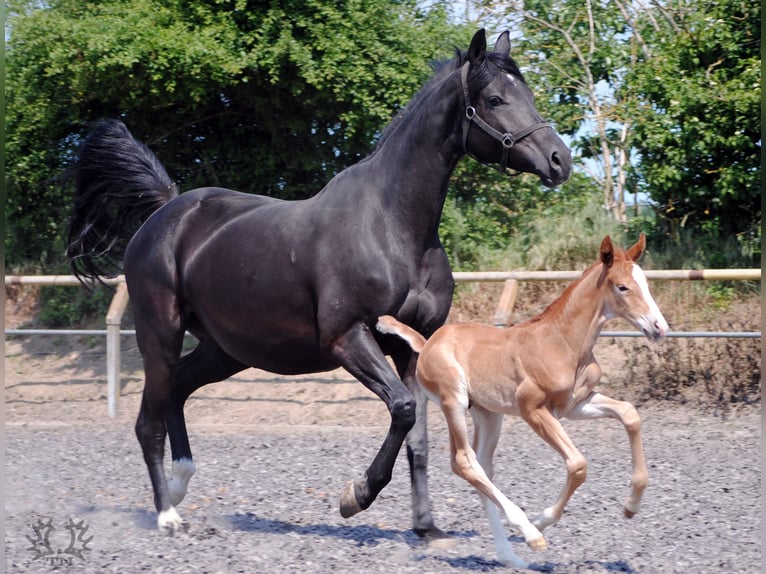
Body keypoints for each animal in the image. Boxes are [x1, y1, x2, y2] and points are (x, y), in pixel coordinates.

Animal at [67, 28, 568, 540]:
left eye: (528, 93)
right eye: (494, 98)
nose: (559, 159)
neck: (392, 226)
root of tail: (164, 212)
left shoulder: (412, 347)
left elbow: (419, 438)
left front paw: (426, 526)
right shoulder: (348, 338)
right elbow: (403, 409)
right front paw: (356, 496)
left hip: (226, 350)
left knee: (178, 392)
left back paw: (180, 483)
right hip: (160, 335)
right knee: (148, 420)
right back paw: (167, 513)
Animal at [378, 236, 664, 568]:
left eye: (646, 283)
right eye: (622, 287)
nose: (659, 327)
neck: (563, 343)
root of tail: (427, 345)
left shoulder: (576, 405)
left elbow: (629, 414)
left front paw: (631, 506)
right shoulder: (533, 409)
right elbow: (577, 464)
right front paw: (541, 521)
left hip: (489, 415)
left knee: (481, 466)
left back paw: (509, 555)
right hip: (454, 401)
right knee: (464, 461)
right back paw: (529, 533)